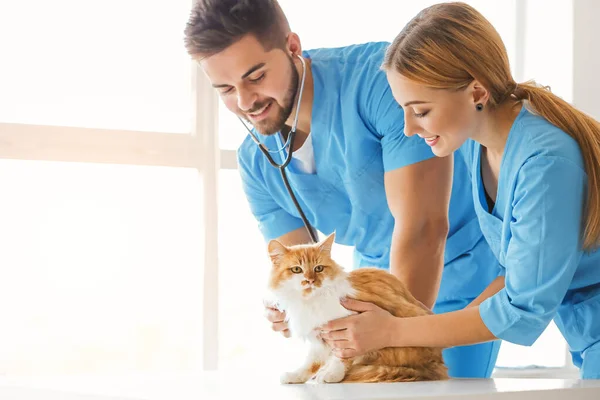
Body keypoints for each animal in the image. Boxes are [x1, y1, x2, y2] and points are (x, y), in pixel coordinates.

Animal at [264, 233, 448, 382]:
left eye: (319, 268)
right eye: (296, 269)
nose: (310, 280)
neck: (310, 302)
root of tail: (437, 362)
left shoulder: (345, 331)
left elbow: (341, 357)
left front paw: (332, 374)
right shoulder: (318, 338)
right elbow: (311, 363)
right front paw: (296, 376)